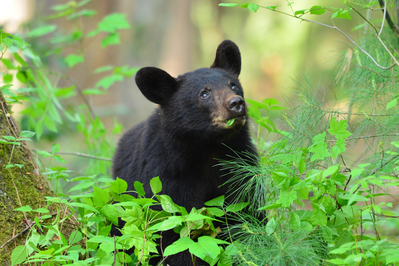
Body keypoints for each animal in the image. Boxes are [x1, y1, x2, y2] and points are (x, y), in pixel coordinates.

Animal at [112, 40, 258, 266]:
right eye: (204, 93)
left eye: (233, 85)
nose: (236, 103)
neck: (208, 149)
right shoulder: (167, 177)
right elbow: (172, 233)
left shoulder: (240, 166)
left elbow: (245, 213)